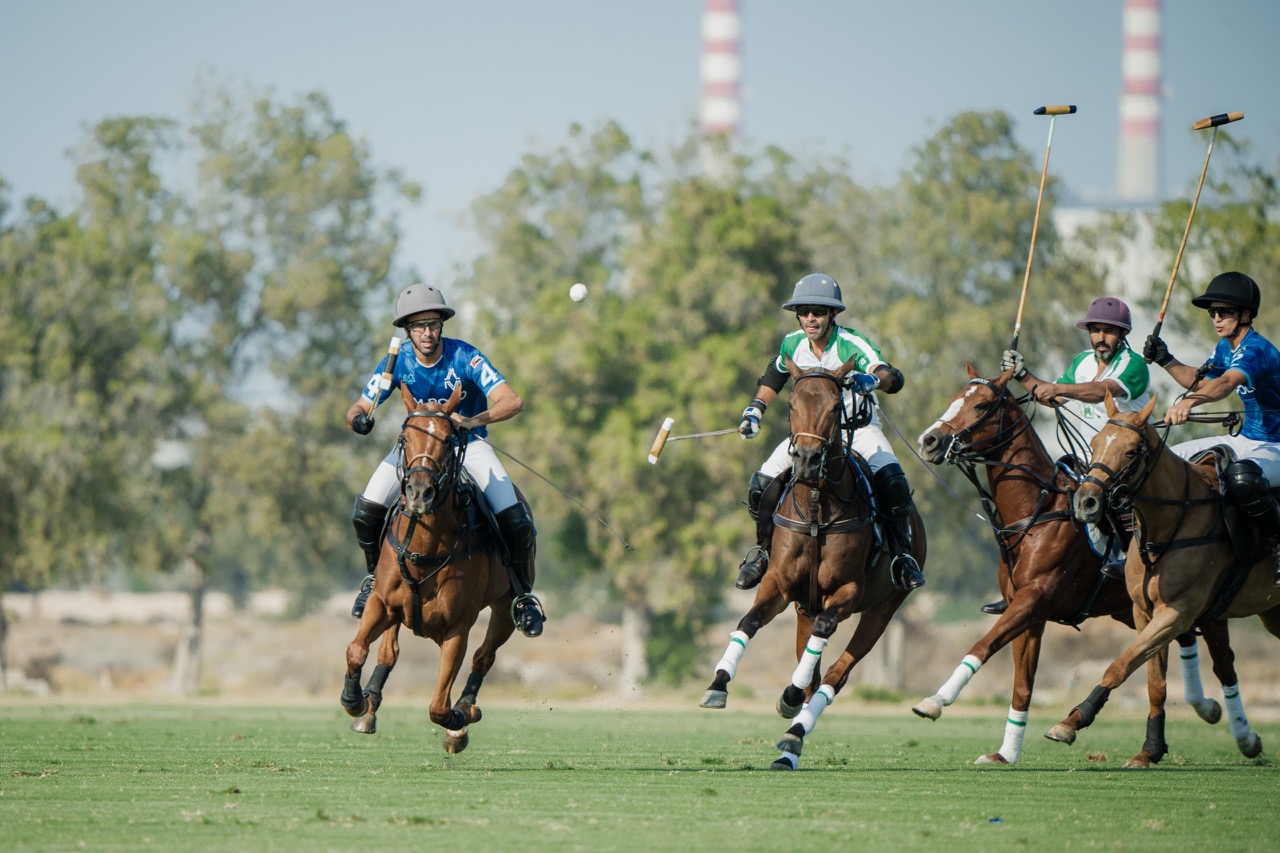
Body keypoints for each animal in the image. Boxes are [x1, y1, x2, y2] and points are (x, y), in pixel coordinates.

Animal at [337, 381, 527, 747]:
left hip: (504, 606)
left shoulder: (458, 626)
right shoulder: (383, 604)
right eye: (403, 438)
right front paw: (354, 700)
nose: (418, 493)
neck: (425, 546)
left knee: (484, 655)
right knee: (388, 651)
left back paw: (466, 707)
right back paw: (369, 707)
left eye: (450, 440)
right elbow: (356, 649)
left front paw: (459, 719)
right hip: (398, 612)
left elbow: (439, 706)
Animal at [701, 356, 921, 768]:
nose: (805, 460)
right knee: (814, 672)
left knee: (834, 674)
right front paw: (717, 685)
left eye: (836, 407)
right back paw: (790, 738)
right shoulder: (780, 584)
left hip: (883, 608)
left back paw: (794, 733)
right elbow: (748, 621)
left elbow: (823, 635)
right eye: (791, 405)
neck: (819, 507)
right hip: (804, 606)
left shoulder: (848, 591)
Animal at [916, 366, 1244, 763]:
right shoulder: (1028, 612)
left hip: (1204, 606)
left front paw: (934, 701)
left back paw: (1241, 733)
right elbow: (1022, 684)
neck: (1036, 511)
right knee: (1175, 642)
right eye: (952, 399)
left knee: (1222, 662)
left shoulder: (1034, 599)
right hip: (1134, 608)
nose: (929, 441)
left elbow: (983, 645)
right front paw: (1005, 753)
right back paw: (1205, 708)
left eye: (981, 405)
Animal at [1049, 391, 1280, 763]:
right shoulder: (1145, 612)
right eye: (1095, 443)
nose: (1085, 502)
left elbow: (1120, 665)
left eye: (1132, 451)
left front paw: (1074, 720)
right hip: (1273, 613)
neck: (1166, 526)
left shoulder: (1177, 612)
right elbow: (1153, 681)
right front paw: (1150, 749)